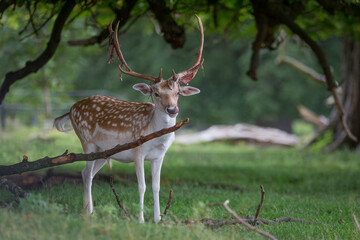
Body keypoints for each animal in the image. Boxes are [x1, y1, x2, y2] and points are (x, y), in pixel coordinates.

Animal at [54, 15, 205, 222]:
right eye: (156, 93)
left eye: (178, 92)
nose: (172, 109)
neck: (156, 136)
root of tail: (70, 109)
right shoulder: (137, 151)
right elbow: (141, 186)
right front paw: (141, 220)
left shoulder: (160, 156)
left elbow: (157, 187)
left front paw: (157, 220)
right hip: (87, 141)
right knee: (86, 172)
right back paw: (88, 211)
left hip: (104, 151)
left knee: (87, 173)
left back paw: (90, 210)